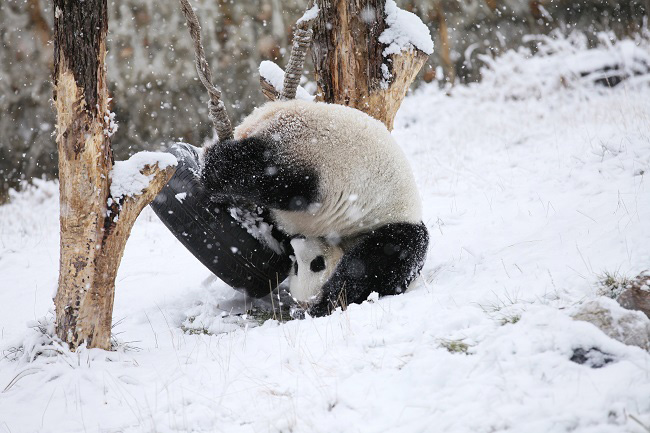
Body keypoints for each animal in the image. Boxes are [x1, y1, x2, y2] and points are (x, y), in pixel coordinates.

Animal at [200, 98, 428, 318]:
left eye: (315, 264)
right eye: (298, 266)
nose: (297, 241)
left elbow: (368, 269)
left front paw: (321, 306)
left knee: (271, 176)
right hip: (311, 151)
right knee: (269, 172)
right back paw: (215, 165)